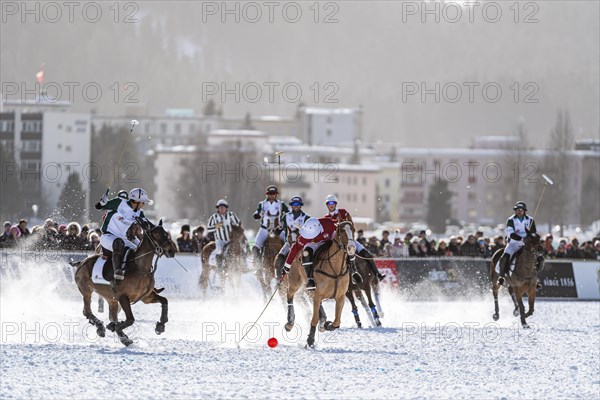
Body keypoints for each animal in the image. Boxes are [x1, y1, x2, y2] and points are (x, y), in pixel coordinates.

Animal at [71, 217, 176, 346]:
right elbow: (130, 319)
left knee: (112, 315)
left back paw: (121, 336)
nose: (171, 250)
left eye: (166, 233)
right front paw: (114, 327)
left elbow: (164, 301)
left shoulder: (146, 297)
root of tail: (81, 262)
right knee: (87, 311)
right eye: (156, 233)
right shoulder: (123, 297)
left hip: (110, 298)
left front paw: (160, 325)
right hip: (86, 290)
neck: (140, 268)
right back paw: (102, 328)